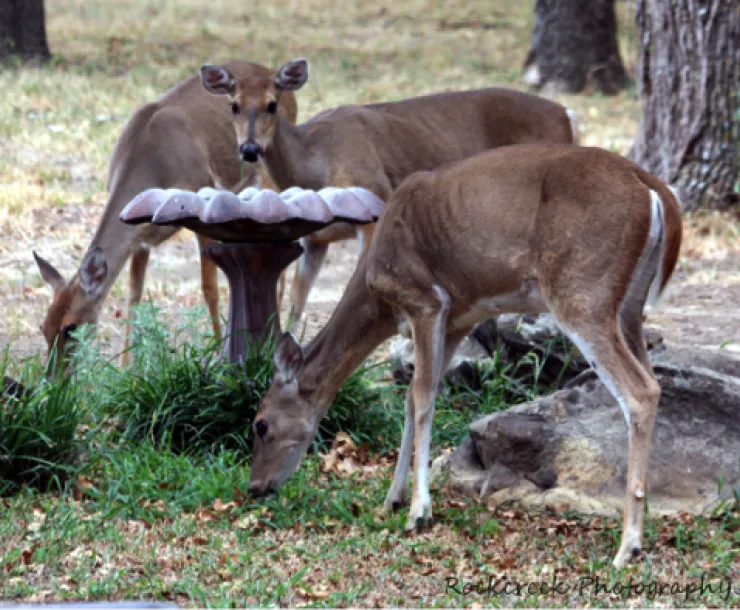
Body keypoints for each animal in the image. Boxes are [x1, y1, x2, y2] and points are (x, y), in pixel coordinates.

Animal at [33, 61, 298, 372]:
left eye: (71, 327)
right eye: (43, 327)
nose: (52, 378)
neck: (150, 162)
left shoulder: (202, 202)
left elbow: (209, 289)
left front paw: (220, 357)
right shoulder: (140, 236)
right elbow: (133, 295)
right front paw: (125, 368)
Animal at [199, 58, 579, 328]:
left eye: (272, 104)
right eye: (233, 105)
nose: (249, 149)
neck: (315, 162)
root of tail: (567, 114)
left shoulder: (373, 202)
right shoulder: (314, 238)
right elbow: (296, 301)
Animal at [247, 143, 683, 569]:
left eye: (260, 424)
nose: (254, 487)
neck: (378, 293)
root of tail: (652, 188)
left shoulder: (425, 300)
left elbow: (422, 397)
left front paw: (418, 511)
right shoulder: (458, 318)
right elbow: (415, 399)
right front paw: (393, 498)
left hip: (582, 291)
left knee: (640, 391)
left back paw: (627, 547)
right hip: (628, 306)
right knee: (652, 378)